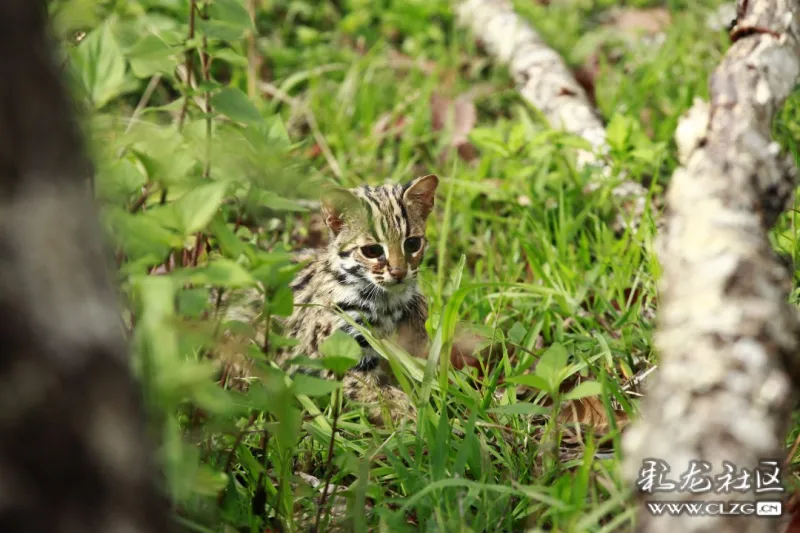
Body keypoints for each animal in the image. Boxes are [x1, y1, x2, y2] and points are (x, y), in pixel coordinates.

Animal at [217, 176, 438, 424]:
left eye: (412, 244)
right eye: (372, 251)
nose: (399, 273)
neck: (386, 301)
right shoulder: (344, 358)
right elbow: (382, 396)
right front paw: (421, 418)